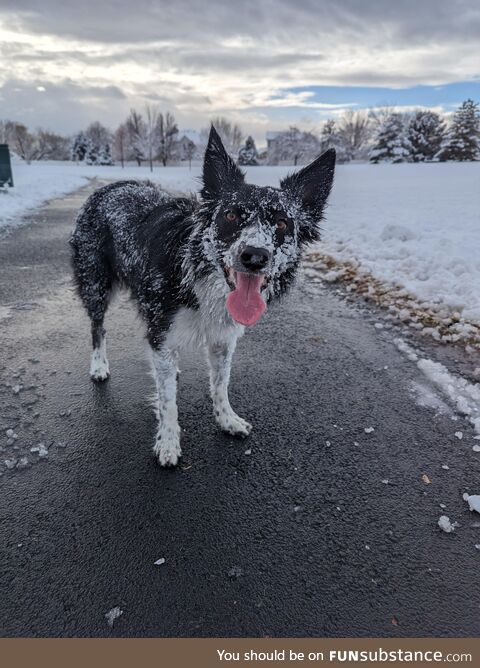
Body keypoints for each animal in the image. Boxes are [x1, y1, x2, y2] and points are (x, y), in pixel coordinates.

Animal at [71, 128, 336, 468]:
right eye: (231, 215)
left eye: (281, 223)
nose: (255, 256)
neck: (202, 278)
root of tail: (109, 186)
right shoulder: (161, 328)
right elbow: (168, 401)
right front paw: (168, 441)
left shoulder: (223, 338)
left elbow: (220, 383)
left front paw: (226, 419)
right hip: (96, 282)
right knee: (97, 327)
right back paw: (99, 365)